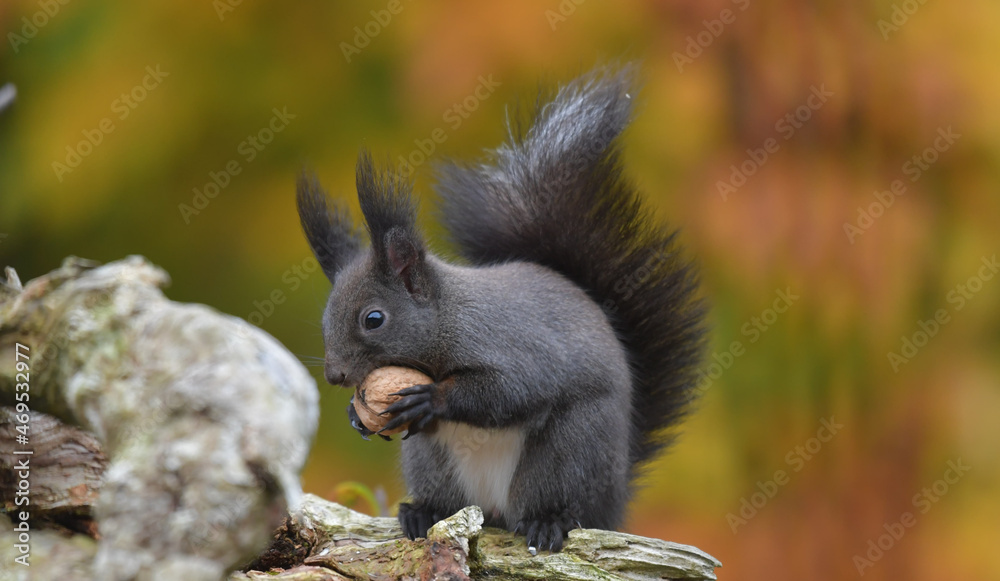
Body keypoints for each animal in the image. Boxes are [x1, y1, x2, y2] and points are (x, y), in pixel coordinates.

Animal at [295, 64, 705, 554]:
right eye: (325, 318)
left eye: (373, 319)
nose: (335, 375)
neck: (447, 319)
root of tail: (616, 497)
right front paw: (356, 416)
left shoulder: (511, 345)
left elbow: (513, 390)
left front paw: (433, 398)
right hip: (431, 460)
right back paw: (423, 513)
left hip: (567, 452)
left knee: (559, 502)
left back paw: (549, 523)